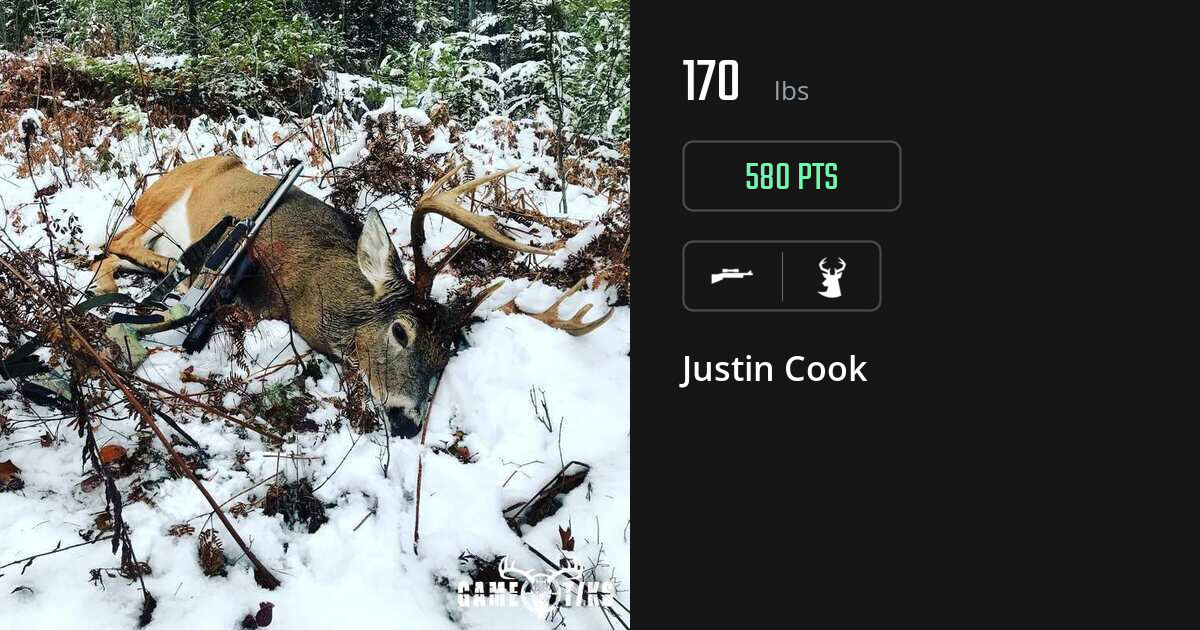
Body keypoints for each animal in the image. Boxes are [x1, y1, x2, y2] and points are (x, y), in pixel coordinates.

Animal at [90, 155, 612, 437]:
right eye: (401, 330)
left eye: (446, 355)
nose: (406, 420)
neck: (312, 285)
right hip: (160, 202)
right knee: (115, 241)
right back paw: (162, 275)